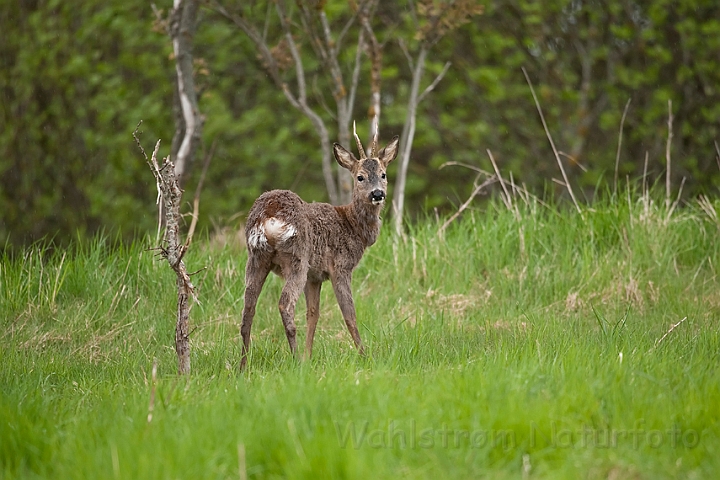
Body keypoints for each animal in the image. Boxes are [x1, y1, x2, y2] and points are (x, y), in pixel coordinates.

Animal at [240, 124, 400, 368]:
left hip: (257, 257)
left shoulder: (314, 276)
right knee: (285, 304)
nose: (377, 194)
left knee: (248, 308)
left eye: (383, 174)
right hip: (296, 257)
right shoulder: (340, 267)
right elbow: (349, 314)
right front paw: (365, 356)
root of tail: (268, 214)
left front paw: (309, 356)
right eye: (360, 177)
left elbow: (313, 314)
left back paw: (242, 366)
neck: (352, 225)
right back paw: (294, 360)